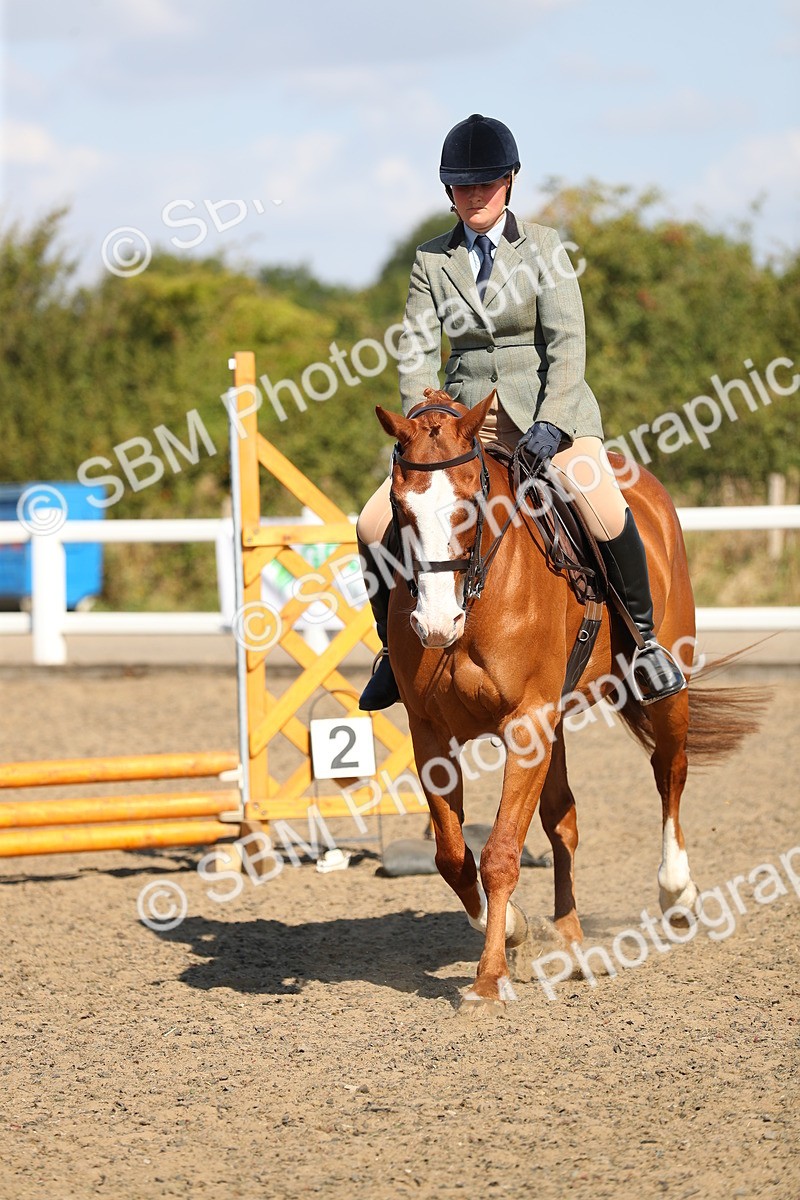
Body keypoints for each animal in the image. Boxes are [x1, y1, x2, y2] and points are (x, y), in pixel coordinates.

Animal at [374, 389, 761, 1014]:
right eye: (398, 507)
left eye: (468, 506)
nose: (435, 625)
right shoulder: (433, 735)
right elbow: (453, 856)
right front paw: (512, 930)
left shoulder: (526, 724)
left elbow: (501, 852)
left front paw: (488, 981)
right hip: (553, 726)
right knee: (564, 822)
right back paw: (575, 947)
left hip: (663, 690)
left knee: (670, 771)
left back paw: (676, 893)